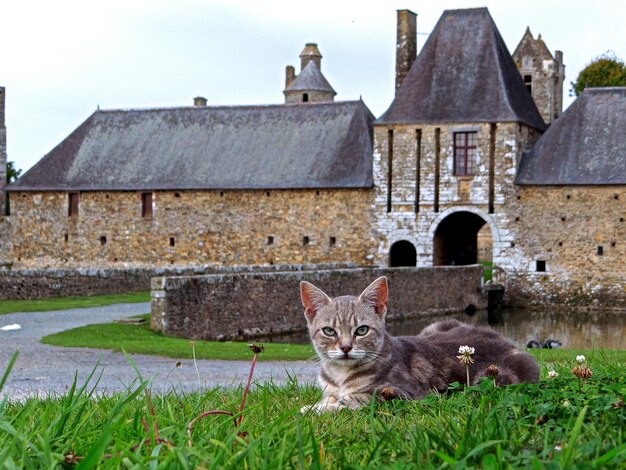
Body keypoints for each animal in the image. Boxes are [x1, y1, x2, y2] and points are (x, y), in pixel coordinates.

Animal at [300, 276, 540, 412]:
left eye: (362, 330)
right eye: (329, 331)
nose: (346, 348)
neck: (340, 376)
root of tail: (504, 339)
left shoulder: (405, 392)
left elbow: (356, 398)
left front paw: (317, 409)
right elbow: (330, 396)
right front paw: (319, 404)